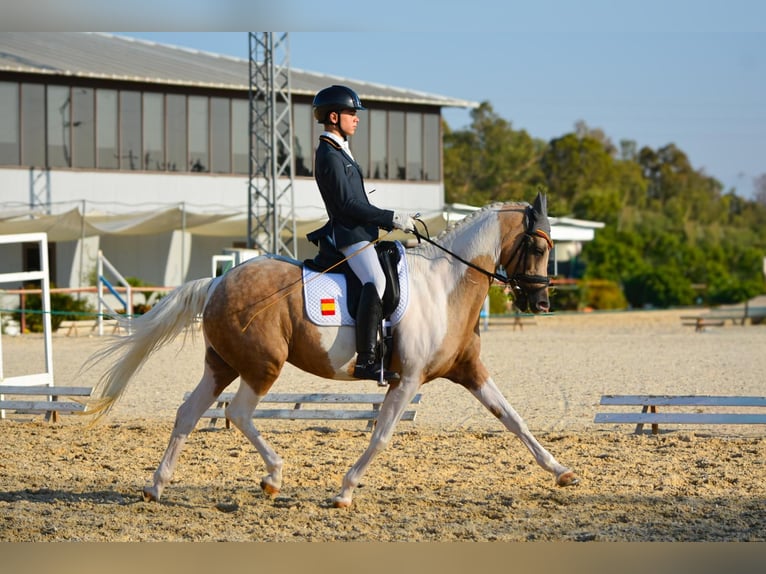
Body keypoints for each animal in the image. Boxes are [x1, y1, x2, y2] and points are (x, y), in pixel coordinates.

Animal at [85, 192, 579, 508]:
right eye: (538, 246)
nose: (541, 303)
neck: (445, 285)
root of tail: (218, 282)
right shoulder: (408, 379)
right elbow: (381, 435)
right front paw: (344, 491)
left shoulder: (469, 370)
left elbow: (513, 419)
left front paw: (561, 471)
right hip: (262, 365)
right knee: (238, 412)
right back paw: (272, 477)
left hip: (223, 363)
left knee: (189, 413)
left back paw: (156, 486)